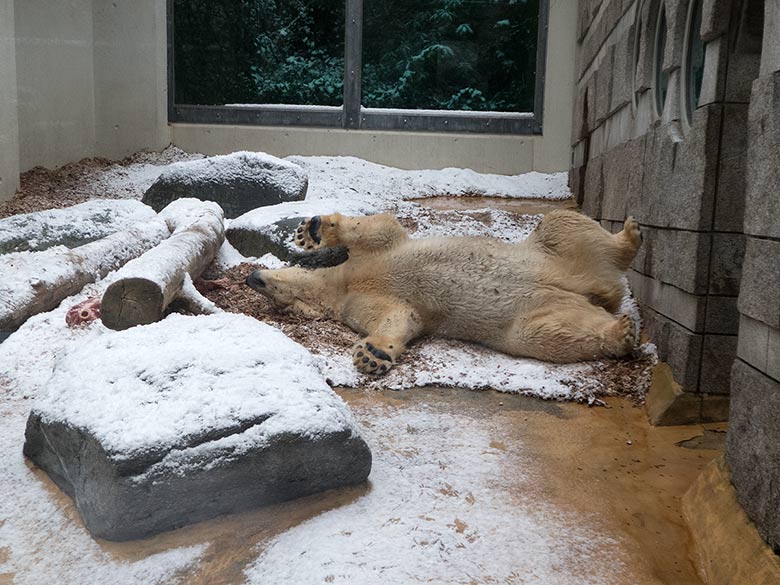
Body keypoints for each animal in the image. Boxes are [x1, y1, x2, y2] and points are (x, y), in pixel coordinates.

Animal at [247, 209, 644, 374]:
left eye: (269, 286)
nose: (252, 277)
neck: (345, 283)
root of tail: (599, 291)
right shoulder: (359, 301)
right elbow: (399, 316)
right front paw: (374, 353)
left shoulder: (376, 253)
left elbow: (377, 228)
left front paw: (311, 230)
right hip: (543, 309)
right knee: (549, 333)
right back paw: (620, 331)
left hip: (551, 253)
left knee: (561, 224)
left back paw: (631, 232)